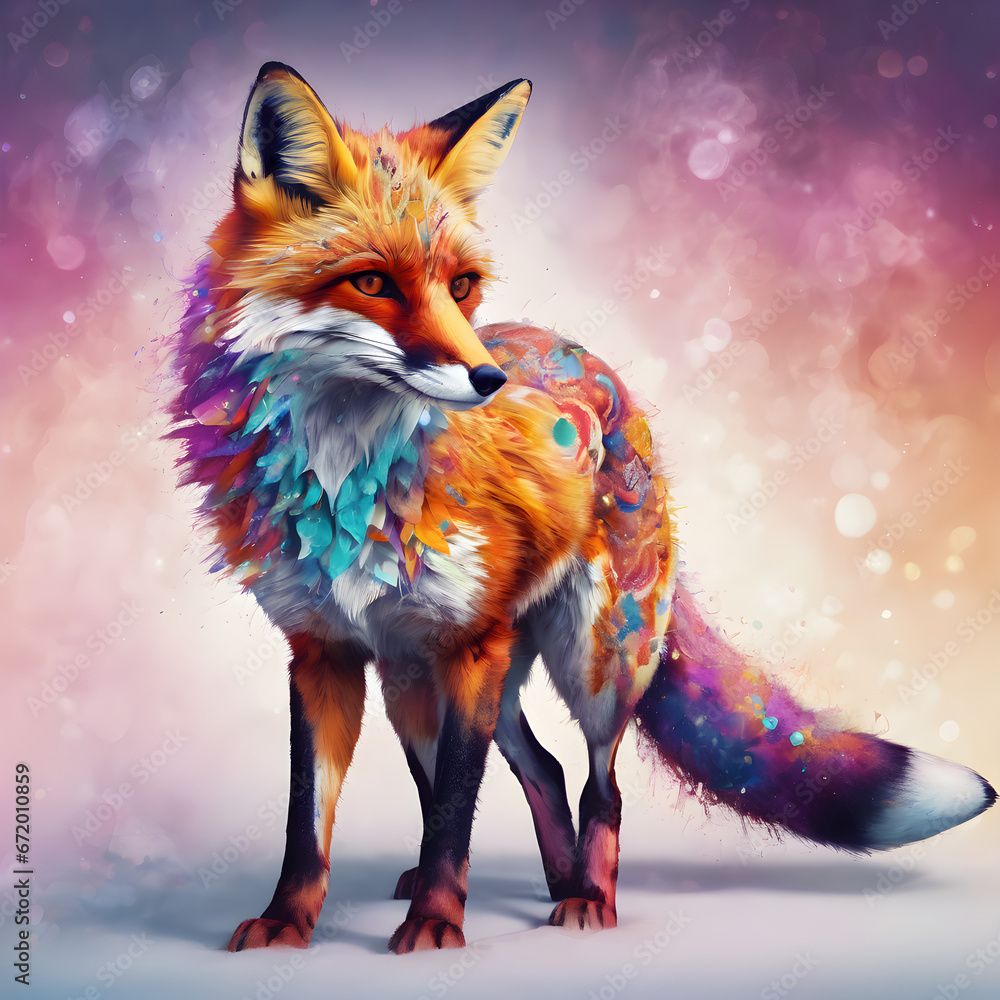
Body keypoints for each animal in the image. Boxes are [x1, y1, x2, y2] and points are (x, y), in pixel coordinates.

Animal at [170, 62, 995, 954]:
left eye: (460, 286)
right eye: (371, 282)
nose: (487, 379)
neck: (345, 475)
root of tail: (593, 363)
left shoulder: (469, 650)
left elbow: (453, 811)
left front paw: (436, 924)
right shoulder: (323, 652)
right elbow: (314, 818)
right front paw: (289, 921)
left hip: (593, 661)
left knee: (599, 782)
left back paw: (587, 897)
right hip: (420, 678)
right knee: (540, 768)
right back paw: (551, 879)